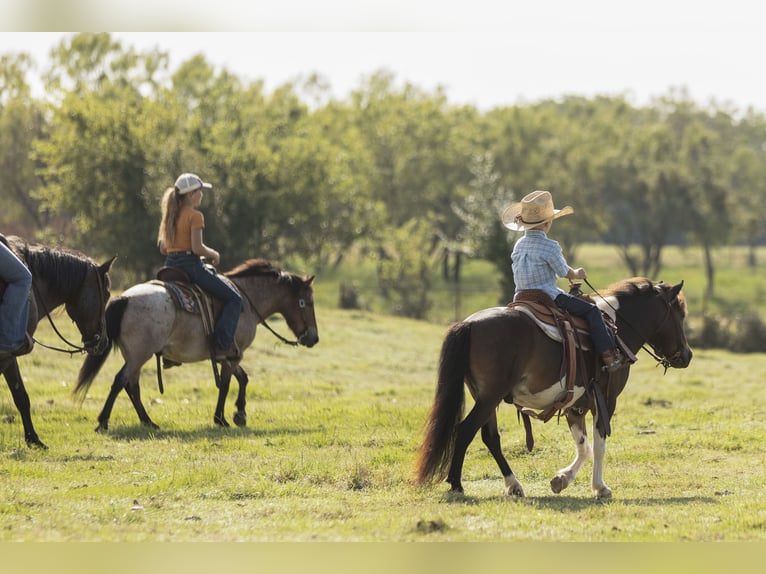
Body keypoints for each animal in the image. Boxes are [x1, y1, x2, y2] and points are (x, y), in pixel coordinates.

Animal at [0, 234, 115, 449]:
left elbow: (21, 397)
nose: (103, 342)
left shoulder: (9, 357)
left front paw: (33, 439)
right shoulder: (7, 355)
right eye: (107, 294)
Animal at [74, 258, 318, 432]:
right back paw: (103, 421)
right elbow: (227, 384)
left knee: (131, 385)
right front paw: (222, 418)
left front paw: (240, 414)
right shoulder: (233, 354)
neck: (246, 301)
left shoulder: (230, 354)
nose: (313, 338)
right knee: (120, 381)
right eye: (308, 302)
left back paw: (148, 421)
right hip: (139, 355)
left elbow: (243, 378)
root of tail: (124, 298)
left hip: (134, 355)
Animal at [414, 277, 692, 499]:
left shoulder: (575, 406)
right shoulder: (605, 402)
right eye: (680, 314)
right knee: (465, 431)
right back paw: (456, 484)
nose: (687, 356)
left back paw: (513, 485)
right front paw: (600, 487)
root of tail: (469, 324)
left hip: (484, 397)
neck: (615, 329)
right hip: (489, 397)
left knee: (490, 437)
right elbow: (599, 446)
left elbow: (584, 446)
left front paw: (561, 480)